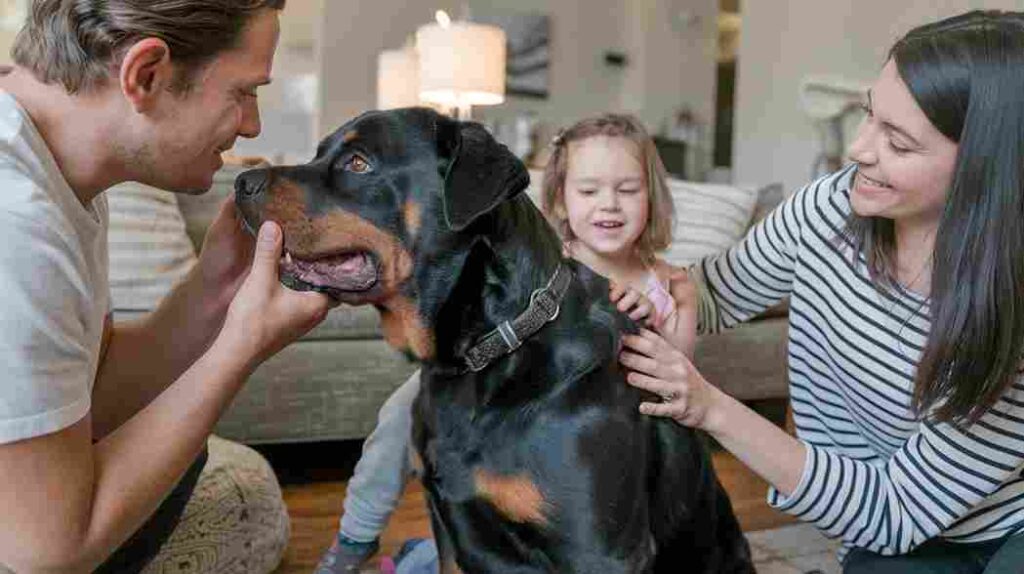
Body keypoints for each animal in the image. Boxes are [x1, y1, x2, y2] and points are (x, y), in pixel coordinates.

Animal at [235, 108, 757, 572]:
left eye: (358, 163)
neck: (490, 353)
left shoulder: (600, 549)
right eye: (320, 152)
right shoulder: (447, 529)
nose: (241, 182)